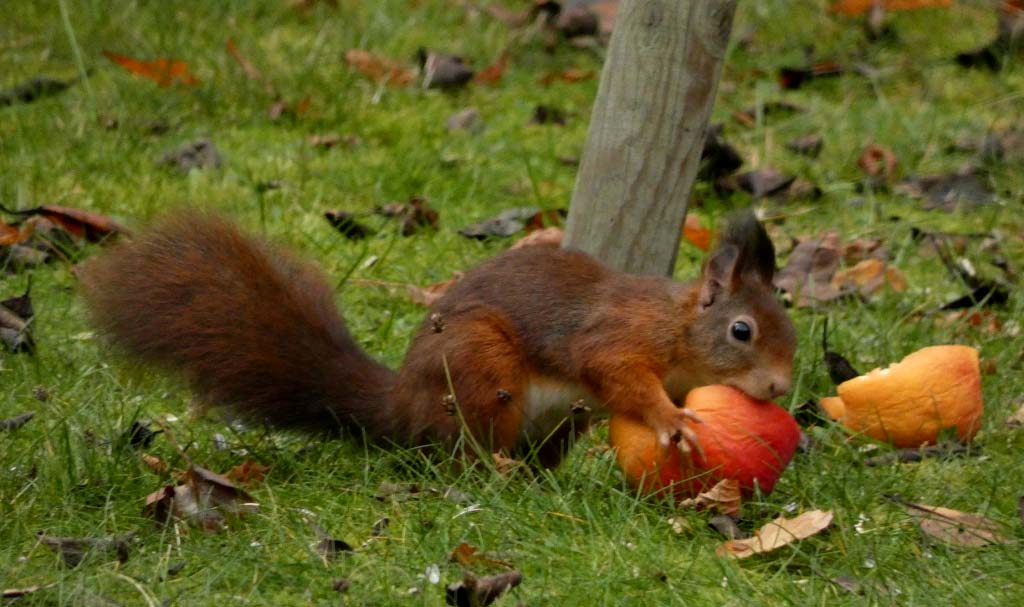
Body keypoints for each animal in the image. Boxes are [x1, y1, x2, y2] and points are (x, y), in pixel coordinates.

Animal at [81, 210, 798, 466]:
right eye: (742, 330)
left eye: (790, 328)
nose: (780, 387)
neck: (678, 329)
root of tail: (401, 405)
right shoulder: (616, 336)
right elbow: (617, 371)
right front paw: (671, 418)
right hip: (482, 370)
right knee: (466, 451)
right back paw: (498, 472)